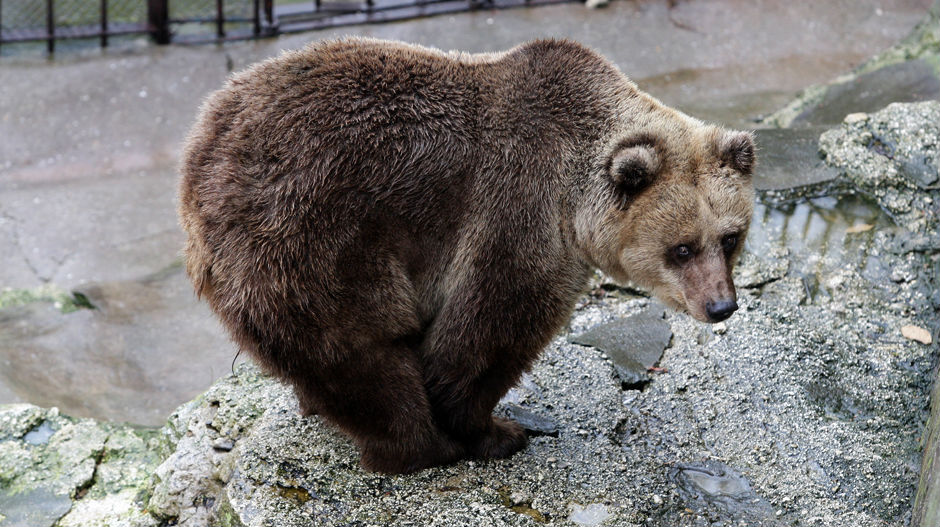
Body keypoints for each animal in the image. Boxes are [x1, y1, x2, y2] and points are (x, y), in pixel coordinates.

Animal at [178, 37, 756, 474]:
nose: (720, 306)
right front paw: (496, 430)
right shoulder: (519, 205)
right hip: (311, 236)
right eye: (681, 248)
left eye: (730, 237)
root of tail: (199, 161)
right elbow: (487, 329)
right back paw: (420, 446)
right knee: (360, 348)